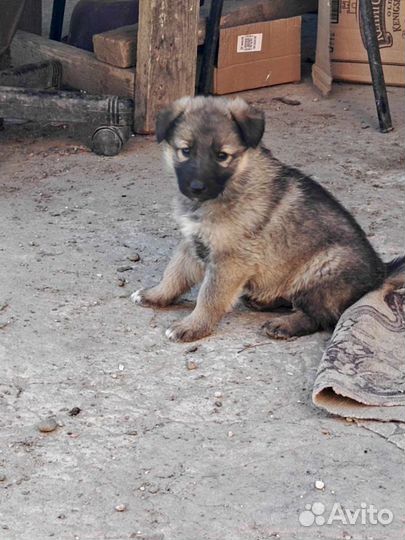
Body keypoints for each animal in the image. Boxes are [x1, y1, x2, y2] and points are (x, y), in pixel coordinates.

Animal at [131, 96, 402, 342]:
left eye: (222, 156)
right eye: (185, 151)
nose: (197, 187)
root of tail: (381, 273)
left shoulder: (230, 260)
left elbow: (209, 296)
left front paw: (193, 325)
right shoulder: (192, 242)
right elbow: (174, 274)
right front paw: (154, 295)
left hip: (324, 268)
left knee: (321, 316)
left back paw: (285, 325)